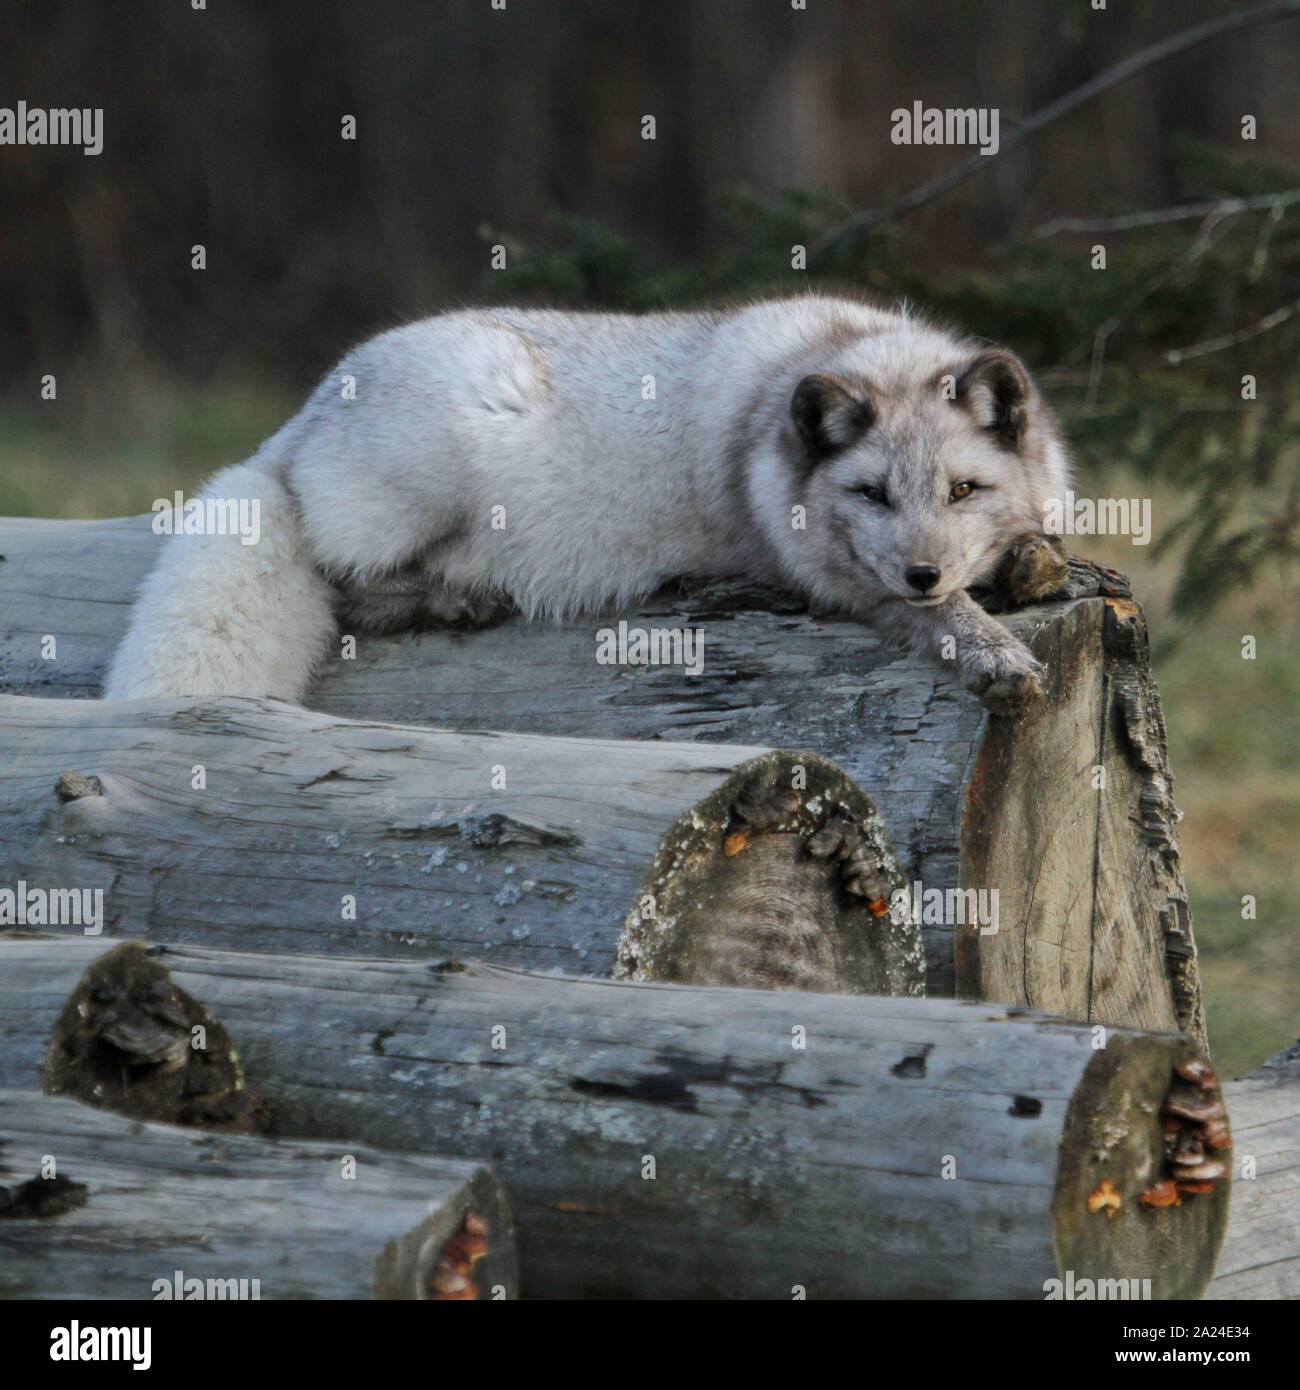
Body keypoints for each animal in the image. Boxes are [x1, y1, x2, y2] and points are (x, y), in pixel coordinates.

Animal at [104, 295, 1072, 712]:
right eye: (871, 494)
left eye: (962, 490)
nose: (923, 571)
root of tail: (299, 419)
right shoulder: (827, 579)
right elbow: (927, 617)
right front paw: (985, 647)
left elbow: (1038, 547)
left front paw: (1033, 563)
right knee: (346, 582)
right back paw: (456, 599)